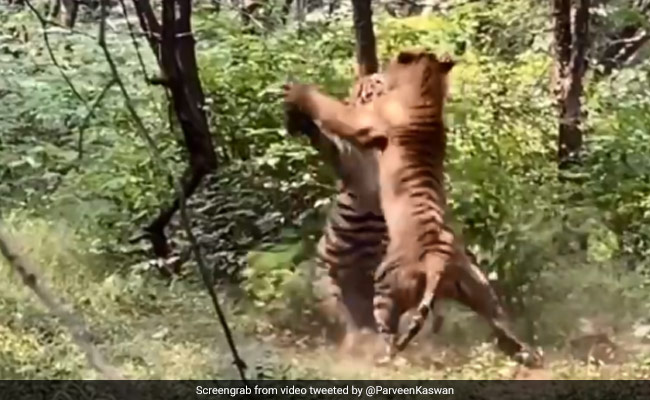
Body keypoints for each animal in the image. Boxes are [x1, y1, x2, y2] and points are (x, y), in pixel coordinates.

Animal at [283, 50, 542, 367]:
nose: (372, 76)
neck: (427, 91)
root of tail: (437, 262)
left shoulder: (362, 123)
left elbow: (328, 106)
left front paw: (297, 91)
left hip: (384, 292)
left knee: (387, 336)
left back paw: (382, 359)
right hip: (481, 290)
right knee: (501, 325)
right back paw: (526, 354)